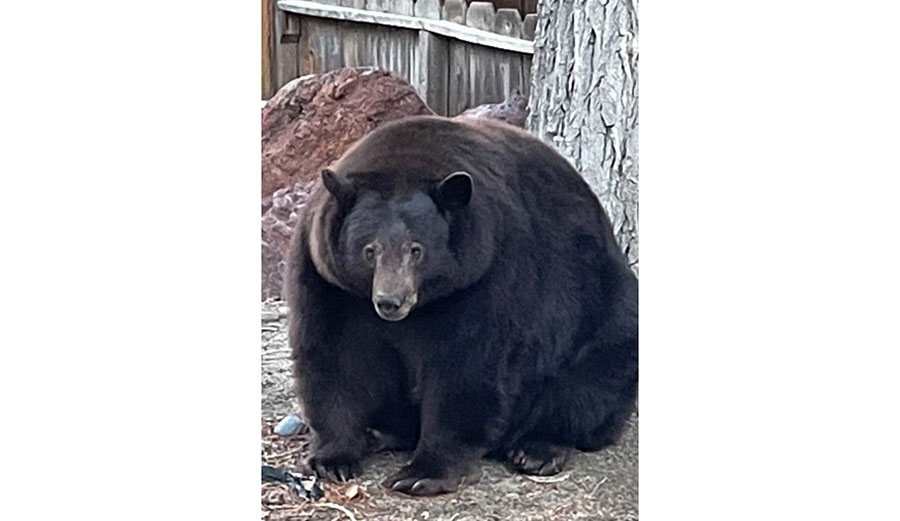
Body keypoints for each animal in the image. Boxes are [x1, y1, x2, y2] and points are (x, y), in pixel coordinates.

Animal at [285, 115, 638, 496]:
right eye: (370, 250)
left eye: (416, 249)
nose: (390, 301)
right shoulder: (328, 280)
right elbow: (335, 355)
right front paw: (333, 459)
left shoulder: (488, 272)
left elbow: (467, 366)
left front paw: (422, 473)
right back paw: (381, 433)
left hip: (602, 311)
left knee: (589, 384)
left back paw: (537, 449)